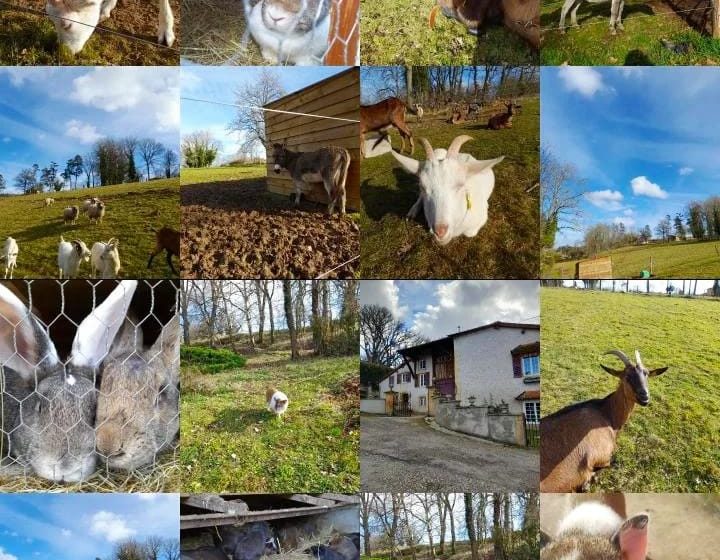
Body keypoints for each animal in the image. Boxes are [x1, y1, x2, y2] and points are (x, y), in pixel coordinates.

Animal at [540, 350, 668, 494]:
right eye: (627, 376)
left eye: (646, 374)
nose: (644, 397)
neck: (606, 414)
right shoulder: (601, 455)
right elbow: (610, 463)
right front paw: (587, 482)